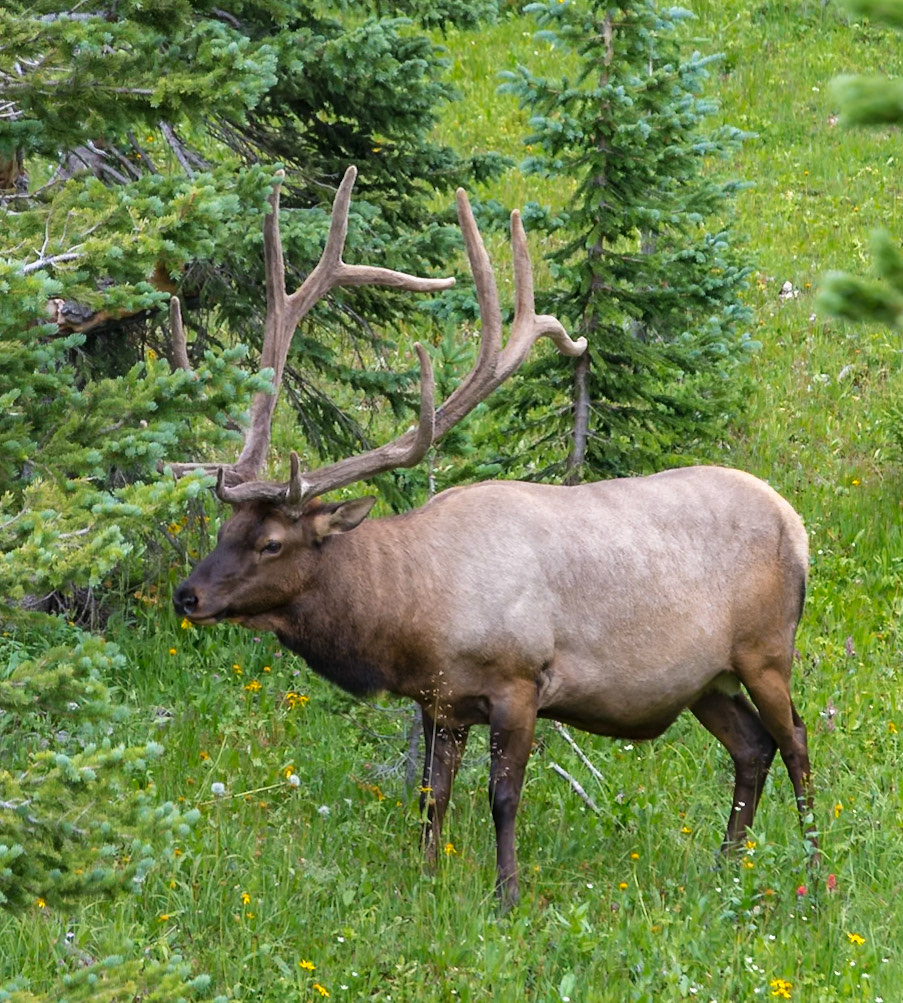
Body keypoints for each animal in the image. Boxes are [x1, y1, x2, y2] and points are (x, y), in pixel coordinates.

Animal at [169, 167, 816, 906]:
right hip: (706, 678)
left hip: (765, 647)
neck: (413, 614)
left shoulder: (520, 681)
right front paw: (426, 879)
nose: (187, 595)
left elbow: (502, 798)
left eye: (272, 541)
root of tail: (798, 526)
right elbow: (432, 796)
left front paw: (507, 897)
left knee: (795, 740)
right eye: (226, 527)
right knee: (751, 747)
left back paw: (813, 869)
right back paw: (725, 868)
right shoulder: (442, 701)